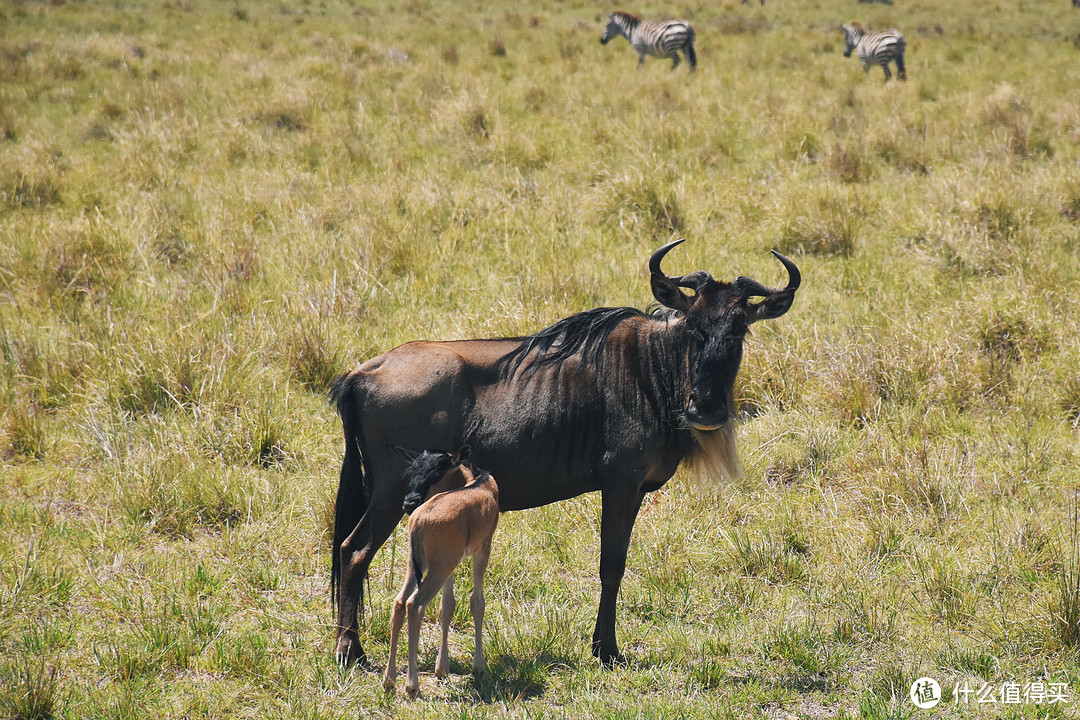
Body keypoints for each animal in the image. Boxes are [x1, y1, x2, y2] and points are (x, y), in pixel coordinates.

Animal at [380, 446, 496, 699]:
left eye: (435, 473)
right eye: (413, 471)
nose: (409, 502)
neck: (477, 482)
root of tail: (418, 520)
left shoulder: (451, 563)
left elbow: (447, 606)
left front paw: (442, 668)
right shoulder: (482, 549)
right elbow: (477, 602)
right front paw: (479, 666)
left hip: (420, 565)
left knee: (399, 602)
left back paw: (389, 680)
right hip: (438, 568)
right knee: (415, 604)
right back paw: (412, 686)